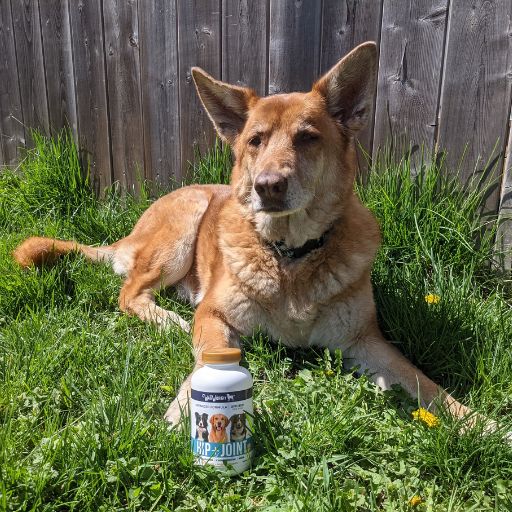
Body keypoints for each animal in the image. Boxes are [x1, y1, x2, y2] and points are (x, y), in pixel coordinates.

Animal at [15, 42, 480, 430]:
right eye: (255, 140)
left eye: (308, 137)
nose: (268, 186)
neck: (290, 257)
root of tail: (129, 236)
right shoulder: (215, 317)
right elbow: (206, 364)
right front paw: (186, 405)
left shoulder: (365, 342)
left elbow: (423, 382)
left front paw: (476, 421)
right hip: (186, 223)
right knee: (128, 294)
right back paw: (169, 320)